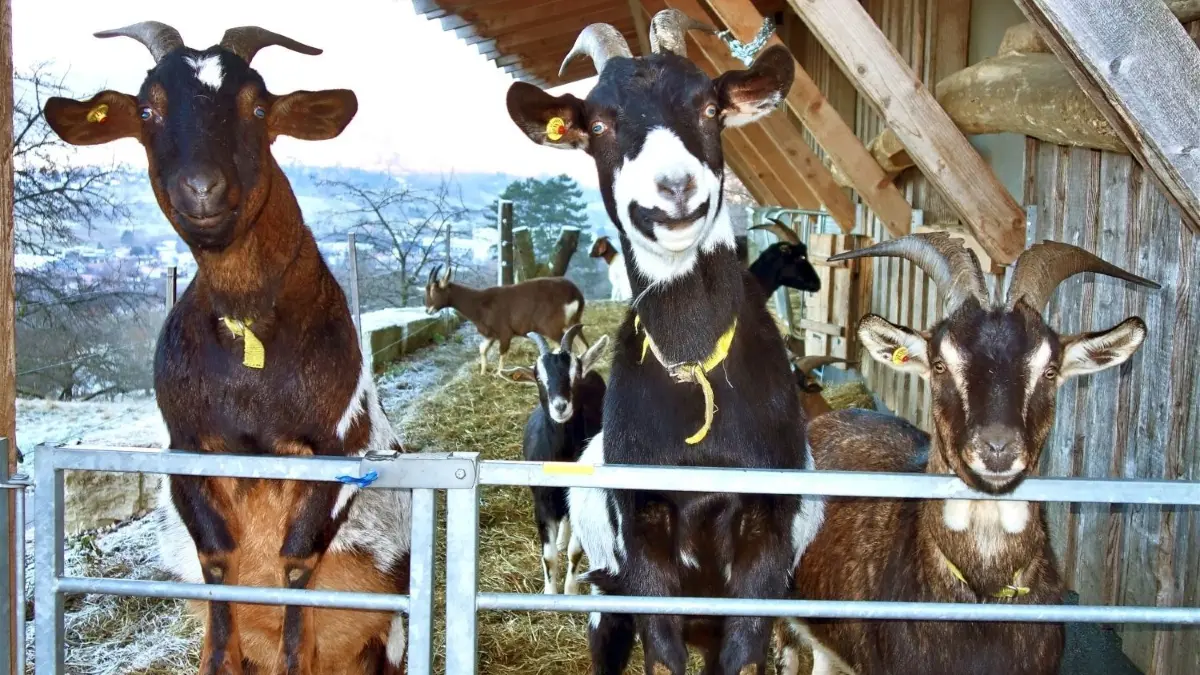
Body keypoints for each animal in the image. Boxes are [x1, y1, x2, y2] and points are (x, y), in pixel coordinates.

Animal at [45, 24, 409, 673]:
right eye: (147, 110)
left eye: (258, 108)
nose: (201, 188)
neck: (249, 343)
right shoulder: (189, 448)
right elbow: (217, 561)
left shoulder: (335, 451)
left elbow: (296, 562)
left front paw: (294, 653)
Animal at [423, 265, 587, 374]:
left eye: (433, 291)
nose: (428, 310)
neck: (480, 303)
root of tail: (575, 294)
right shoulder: (491, 335)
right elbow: (482, 349)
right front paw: (483, 373)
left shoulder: (505, 333)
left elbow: (502, 352)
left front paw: (499, 374)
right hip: (572, 323)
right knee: (582, 345)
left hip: (552, 327)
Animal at [509, 325, 609, 595]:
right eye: (538, 377)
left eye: (576, 373)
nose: (560, 406)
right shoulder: (541, 504)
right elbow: (549, 556)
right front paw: (549, 593)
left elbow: (575, 552)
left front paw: (570, 591)